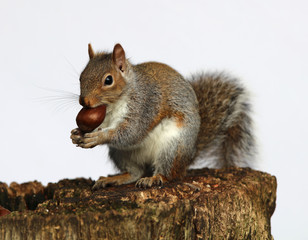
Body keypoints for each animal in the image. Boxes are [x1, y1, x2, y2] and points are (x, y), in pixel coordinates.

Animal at [70, 43, 255, 189]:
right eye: (81, 77)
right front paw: (77, 134)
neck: (112, 106)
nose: (84, 101)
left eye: (108, 80)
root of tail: (189, 156)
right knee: (136, 172)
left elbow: (132, 132)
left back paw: (154, 178)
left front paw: (98, 137)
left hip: (172, 147)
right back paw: (117, 178)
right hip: (120, 153)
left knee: (168, 173)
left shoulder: (146, 105)